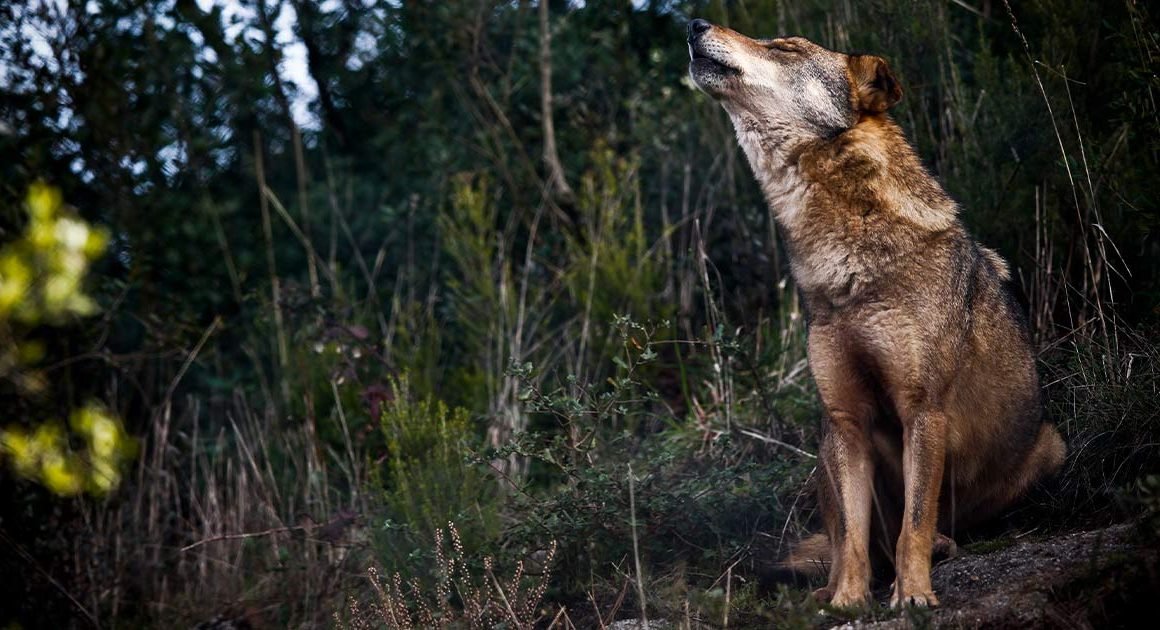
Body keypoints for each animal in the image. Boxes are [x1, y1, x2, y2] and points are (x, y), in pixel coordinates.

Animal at [686, 18, 1067, 608]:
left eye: (784, 47)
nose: (693, 23)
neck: (844, 263)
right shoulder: (847, 419)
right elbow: (853, 535)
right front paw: (847, 599)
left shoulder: (922, 410)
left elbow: (914, 521)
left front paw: (913, 596)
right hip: (824, 445)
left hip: (1051, 448)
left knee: (940, 527)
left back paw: (946, 547)